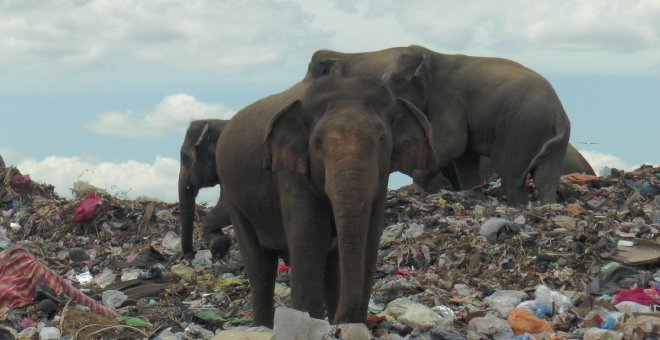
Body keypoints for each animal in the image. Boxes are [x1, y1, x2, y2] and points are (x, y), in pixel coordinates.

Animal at [215, 69, 438, 326]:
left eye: (382, 139)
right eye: (318, 143)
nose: (342, 321)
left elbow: (370, 236)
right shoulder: (291, 172)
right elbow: (312, 236)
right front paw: (310, 324)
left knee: (329, 270)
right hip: (233, 197)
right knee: (261, 268)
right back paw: (263, 327)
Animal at [306, 45, 568, 205]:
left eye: (393, 82)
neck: (434, 55)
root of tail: (559, 111)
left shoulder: (449, 97)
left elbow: (453, 142)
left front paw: (414, 189)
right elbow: (464, 155)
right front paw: (472, 192)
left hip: (520, 128)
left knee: (511, 172)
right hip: (546, 135)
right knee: (545, 176)